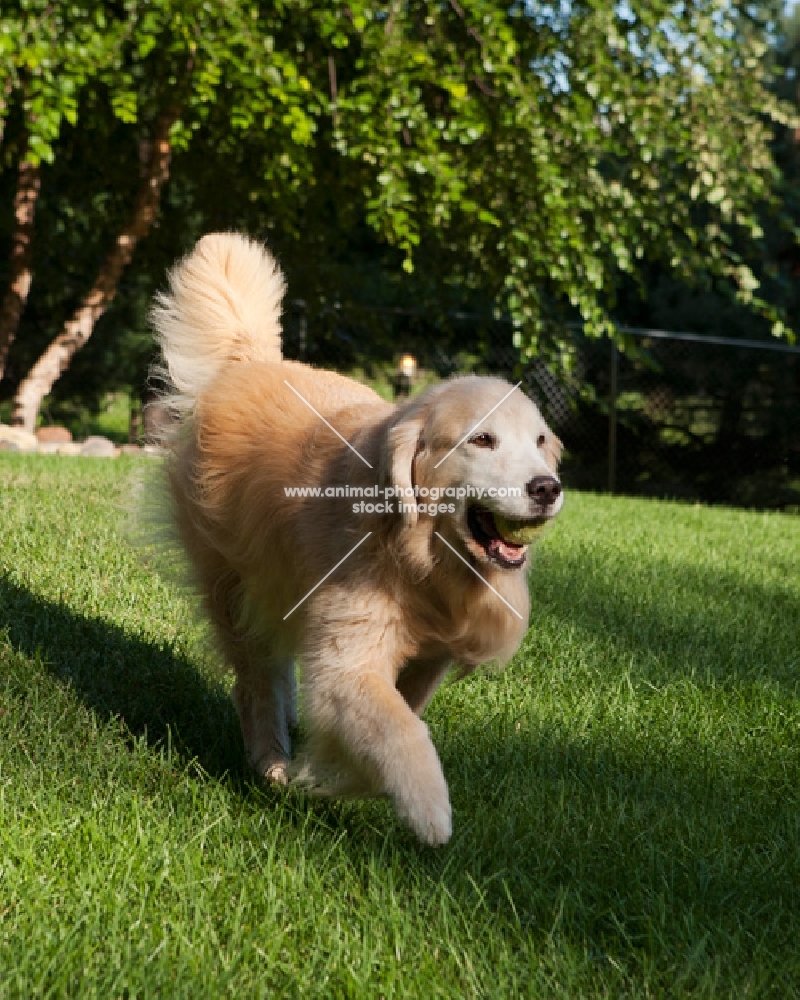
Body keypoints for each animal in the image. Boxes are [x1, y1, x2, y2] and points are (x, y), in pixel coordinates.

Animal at [152, 232, 564, 844]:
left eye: (539, 440)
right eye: (482, 439)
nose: (547, 488)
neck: (419, 556)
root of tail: (251, 362)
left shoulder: (430, 655)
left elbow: (400, 717)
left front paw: (333, 774)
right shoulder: (349, 659)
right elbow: (399, 730)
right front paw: (426, 808)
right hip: (234, 585)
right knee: (257, 679)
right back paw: (271, 759)